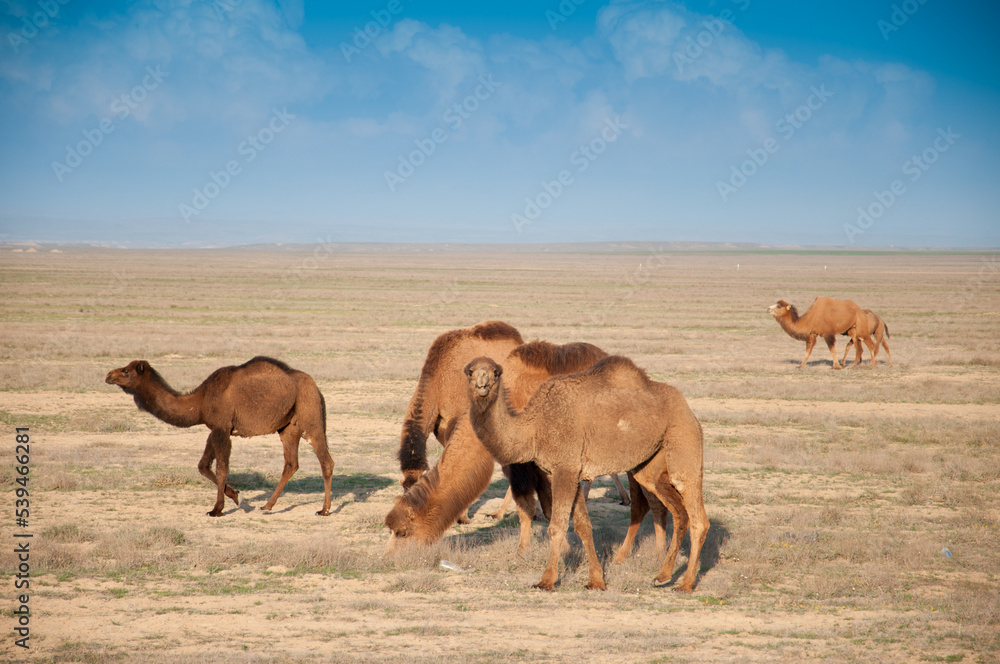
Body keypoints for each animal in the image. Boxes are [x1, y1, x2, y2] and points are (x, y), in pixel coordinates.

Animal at [105, 357, 334, 517]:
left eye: (126, 371)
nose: (108, 375)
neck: (199, 400)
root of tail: (315, 385)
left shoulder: (222, 428)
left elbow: (221, 468)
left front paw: (217, 509)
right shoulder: (213, 427)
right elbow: (203, 465)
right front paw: (235, 495)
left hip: (310, 413)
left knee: (325, 461)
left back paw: (324, 510)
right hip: (288, 426)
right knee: (291, 463)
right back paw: (267, 505)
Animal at [464, 355, 709, 592]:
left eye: (496, 372)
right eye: (470, 371)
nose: (482, 385)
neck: (535, 427)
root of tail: (688, 409)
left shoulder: (566, 467)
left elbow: (557, 526)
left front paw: (546, 581)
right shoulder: (562, 472)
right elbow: (583, 526)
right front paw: (596, 581)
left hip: (683, 439)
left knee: (697, 516)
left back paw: (685, 584)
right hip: (649, 464)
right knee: (677, 510)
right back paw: (662, 576)